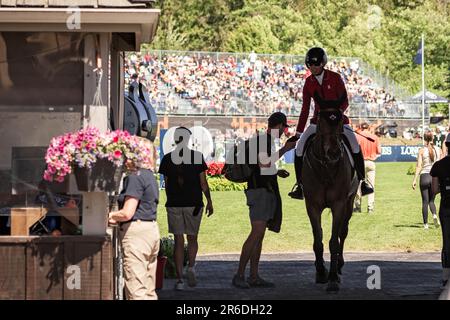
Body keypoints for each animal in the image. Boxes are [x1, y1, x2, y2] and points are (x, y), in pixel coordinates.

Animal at [302, 107, 358, 292]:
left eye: (340, 122)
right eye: (321, 122)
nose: (334, 153)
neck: (326, 167)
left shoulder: (339, 205)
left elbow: (334, 241)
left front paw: (333, 278)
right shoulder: (312, 205)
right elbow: (317, 240)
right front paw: (321, 272)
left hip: (349, 203)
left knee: (342, 233)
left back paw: (339, 265)